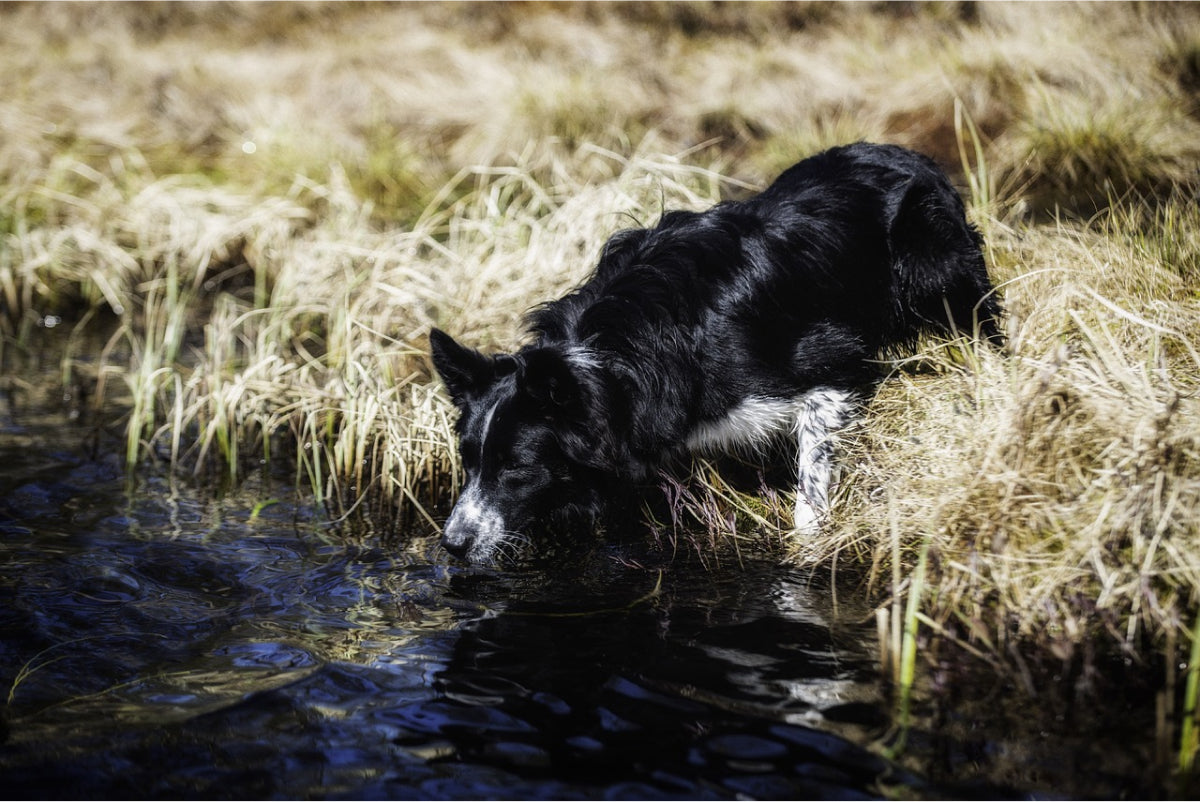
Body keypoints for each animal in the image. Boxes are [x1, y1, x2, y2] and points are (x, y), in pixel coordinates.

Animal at [432, 142, 1003, 564]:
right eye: (468, 461)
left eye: (515, 469)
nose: (453, 545)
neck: (611, 360)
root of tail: (910, 154)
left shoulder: (831, 369)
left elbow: (811, 484)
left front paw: (806, 547)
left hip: (937, 268)